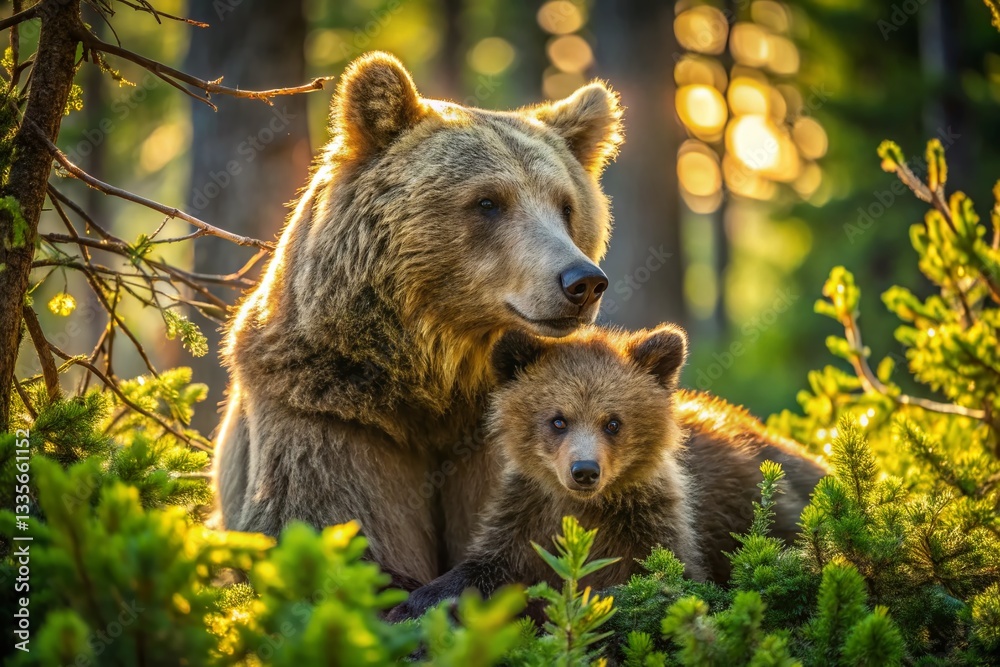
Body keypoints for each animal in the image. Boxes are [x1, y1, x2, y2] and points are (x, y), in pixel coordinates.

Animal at [212, 51, 624, 588]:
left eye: (565, 205)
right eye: (488, 201)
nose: (583, 281)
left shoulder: (501, 436)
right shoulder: (325, 410)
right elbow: (329, 522)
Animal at [388, 325, 827, 620]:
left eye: (613, 422)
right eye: (558, 420)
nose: (584, 470)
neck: (587, 508)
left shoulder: (651, 521)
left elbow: (670, 579)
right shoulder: (526, 513)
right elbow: (485, 567)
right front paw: (411, 606)